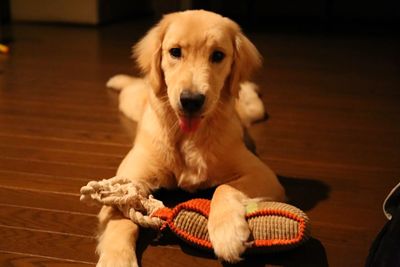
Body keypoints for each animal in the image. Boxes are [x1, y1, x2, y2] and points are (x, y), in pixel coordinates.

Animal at [97, 9, 284, 266]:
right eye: (175, 52)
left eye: (218, 55)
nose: (191, 100)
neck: (188, 135)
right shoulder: (130, 176)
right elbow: (120, 218)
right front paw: (117, 258)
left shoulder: (263, 174)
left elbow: (223, 187)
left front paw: (227, 233)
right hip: (131, 101)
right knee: (131, 85)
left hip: (253, 110)